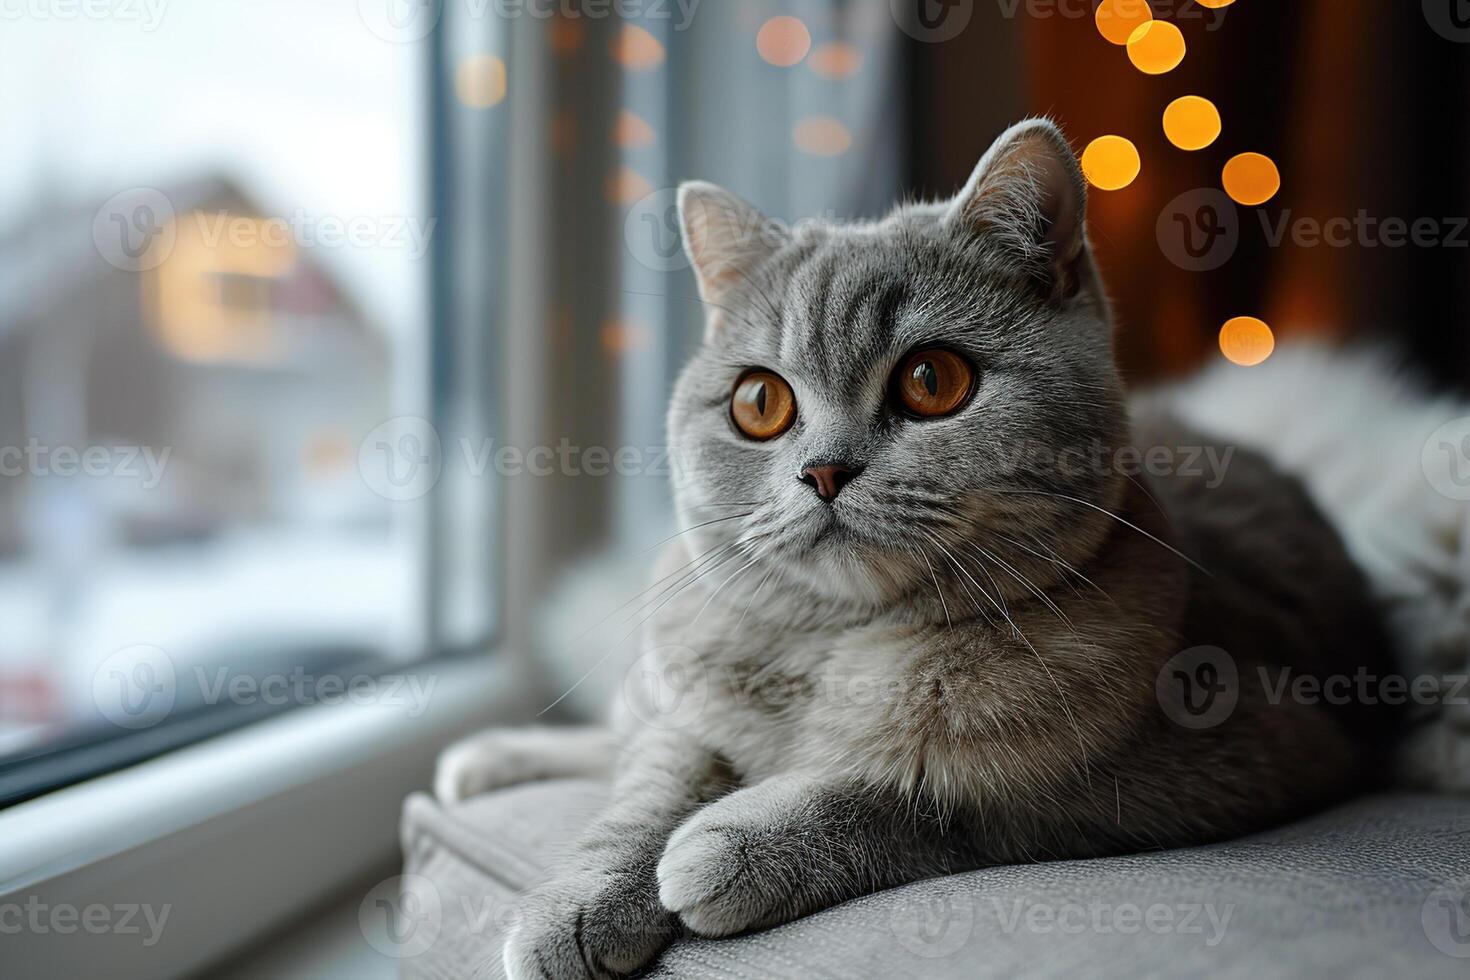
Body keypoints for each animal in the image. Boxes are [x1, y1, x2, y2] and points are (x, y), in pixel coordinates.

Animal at [438, 119, 1399, 975]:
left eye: (933, 381)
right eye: (759, 403)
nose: (824, 470)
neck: (834, 650)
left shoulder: (1227, 756)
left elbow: (929, 789)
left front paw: (737, 843)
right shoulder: (691, 708)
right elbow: (650, 783)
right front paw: (577, 903)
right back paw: (485, 760)